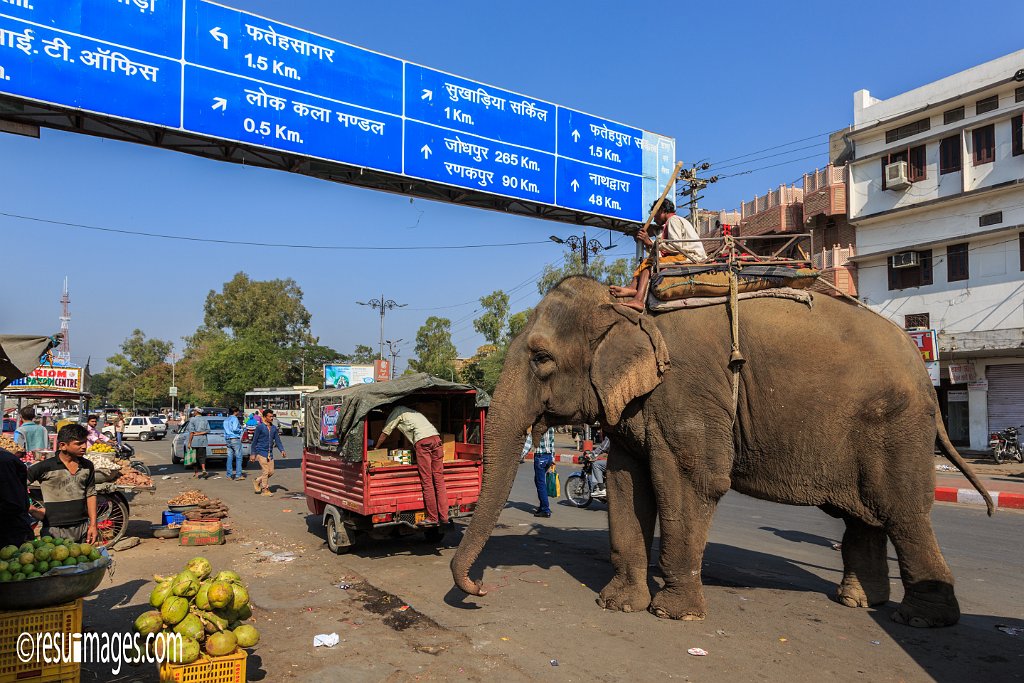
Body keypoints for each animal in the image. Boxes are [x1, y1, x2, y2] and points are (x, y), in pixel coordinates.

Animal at [450, 274, 991, 626]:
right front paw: (617, 605)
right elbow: (625, 484)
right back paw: (860, 603)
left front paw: (674, 616)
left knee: (903, 513)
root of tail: (921, 369)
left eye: (541, 357)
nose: (479, 589)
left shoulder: (687, 393)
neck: (631, 310)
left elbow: (693, 482)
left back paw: (920, 619)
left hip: (895, 427)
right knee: (863, 515)